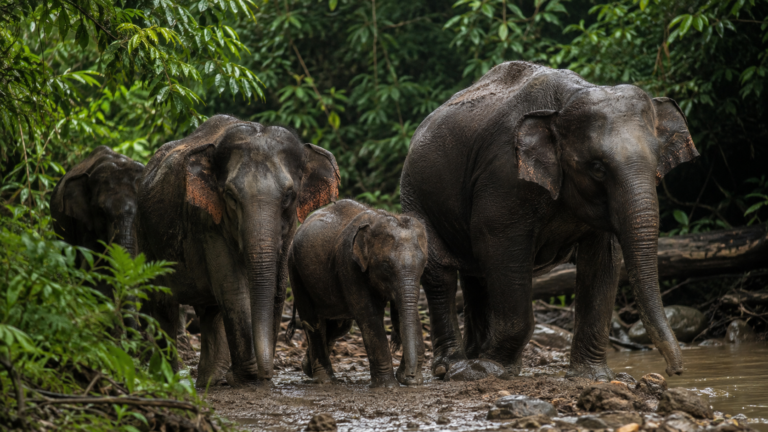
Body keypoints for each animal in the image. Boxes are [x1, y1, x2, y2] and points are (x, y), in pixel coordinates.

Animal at [137, 115, 340, 387]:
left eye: (289, 195)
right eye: (231, 196)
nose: (267, 374)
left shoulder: (288, 228)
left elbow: (276, 289)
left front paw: (250, 377)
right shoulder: (206, 221)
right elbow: (233, 289)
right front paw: (247, 376)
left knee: (209, 311)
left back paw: (211, 380)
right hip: (146, 236)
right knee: (163, 302)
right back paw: (170, 378)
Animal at [287, 199, 428, 388]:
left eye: (424, 264)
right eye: (386, 266)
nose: (410, 376)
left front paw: (410, 381)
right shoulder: (348, 264)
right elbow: (369, 316)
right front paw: (388, 386)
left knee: (339, 326)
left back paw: (307, 368)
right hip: (294, 269)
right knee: (313, 322)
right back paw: (325, 380)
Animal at [399, 61, 698, 381]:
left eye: (657, 164)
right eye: (597, 168)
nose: (674, 371)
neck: (567, 100)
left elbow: (603, 260)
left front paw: (592, 377)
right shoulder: (503, 178)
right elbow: (502, 250)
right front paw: (490, 369)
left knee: (475, 276)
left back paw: (476, 359)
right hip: (416, 195)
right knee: (440, 272)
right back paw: (454, 367)